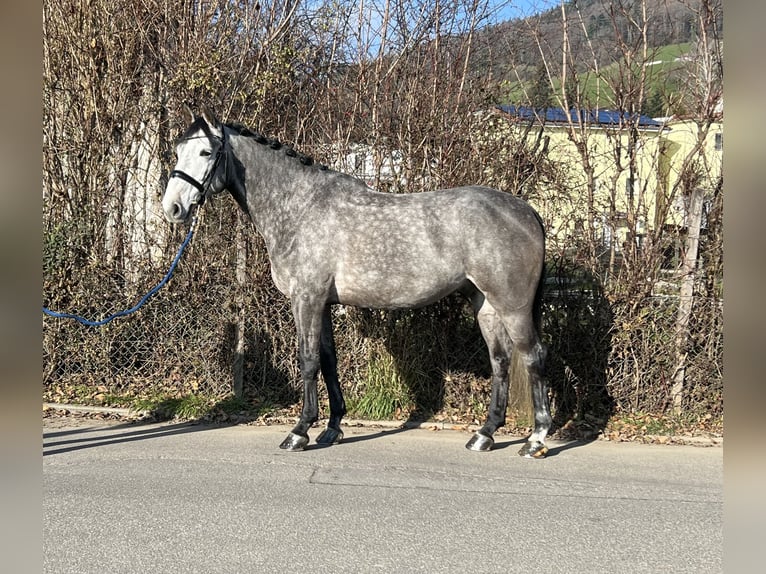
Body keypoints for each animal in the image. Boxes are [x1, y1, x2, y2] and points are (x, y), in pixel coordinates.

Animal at [165, 107, 556, 460]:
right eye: (178, 151)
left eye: (206, 152)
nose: (173, 208)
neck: (300, 207)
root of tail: (527, 211)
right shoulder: (322, 303)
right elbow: (328, 360)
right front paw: (332, 427)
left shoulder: (306, 299)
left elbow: (308, 360)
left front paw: (299, 432)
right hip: (485, 303)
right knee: (500, 361)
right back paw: (484, 435)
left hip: (513, 306)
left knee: (534, 356)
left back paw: (535, 440)